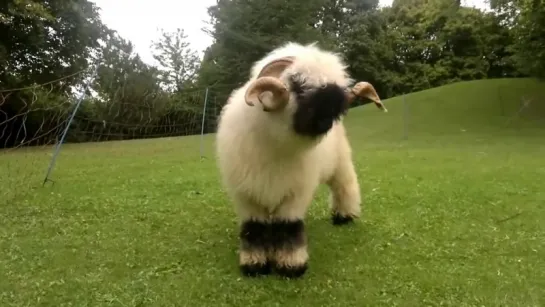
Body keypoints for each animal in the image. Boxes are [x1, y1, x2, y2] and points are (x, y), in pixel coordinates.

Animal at [215, 41, 384, 280]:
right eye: (297, 83)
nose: (327, 118)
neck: (275, 146)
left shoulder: (295, 194)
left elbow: (290, 226)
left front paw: (291, 266)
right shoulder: (246, 195)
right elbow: (253, 228)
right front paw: (254, 265)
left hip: (341, 163)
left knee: (345, 186)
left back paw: (345, 216)